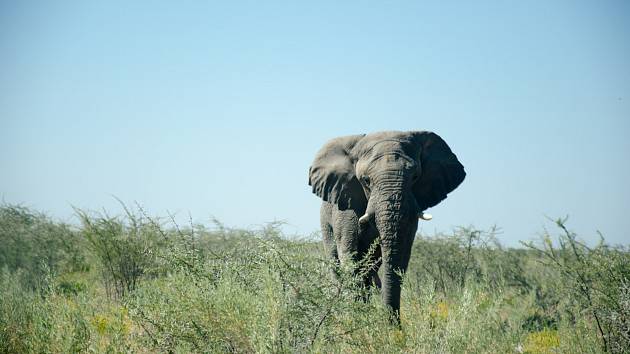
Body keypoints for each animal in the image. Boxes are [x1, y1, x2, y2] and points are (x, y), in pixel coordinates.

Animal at [308, 131, 466, 324]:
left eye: (415, 177)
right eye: (366, 180)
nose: (393, 325)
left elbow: (403, 252)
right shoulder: (346, 203)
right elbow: (349, 253)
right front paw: (357, 318)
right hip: (325, 221)